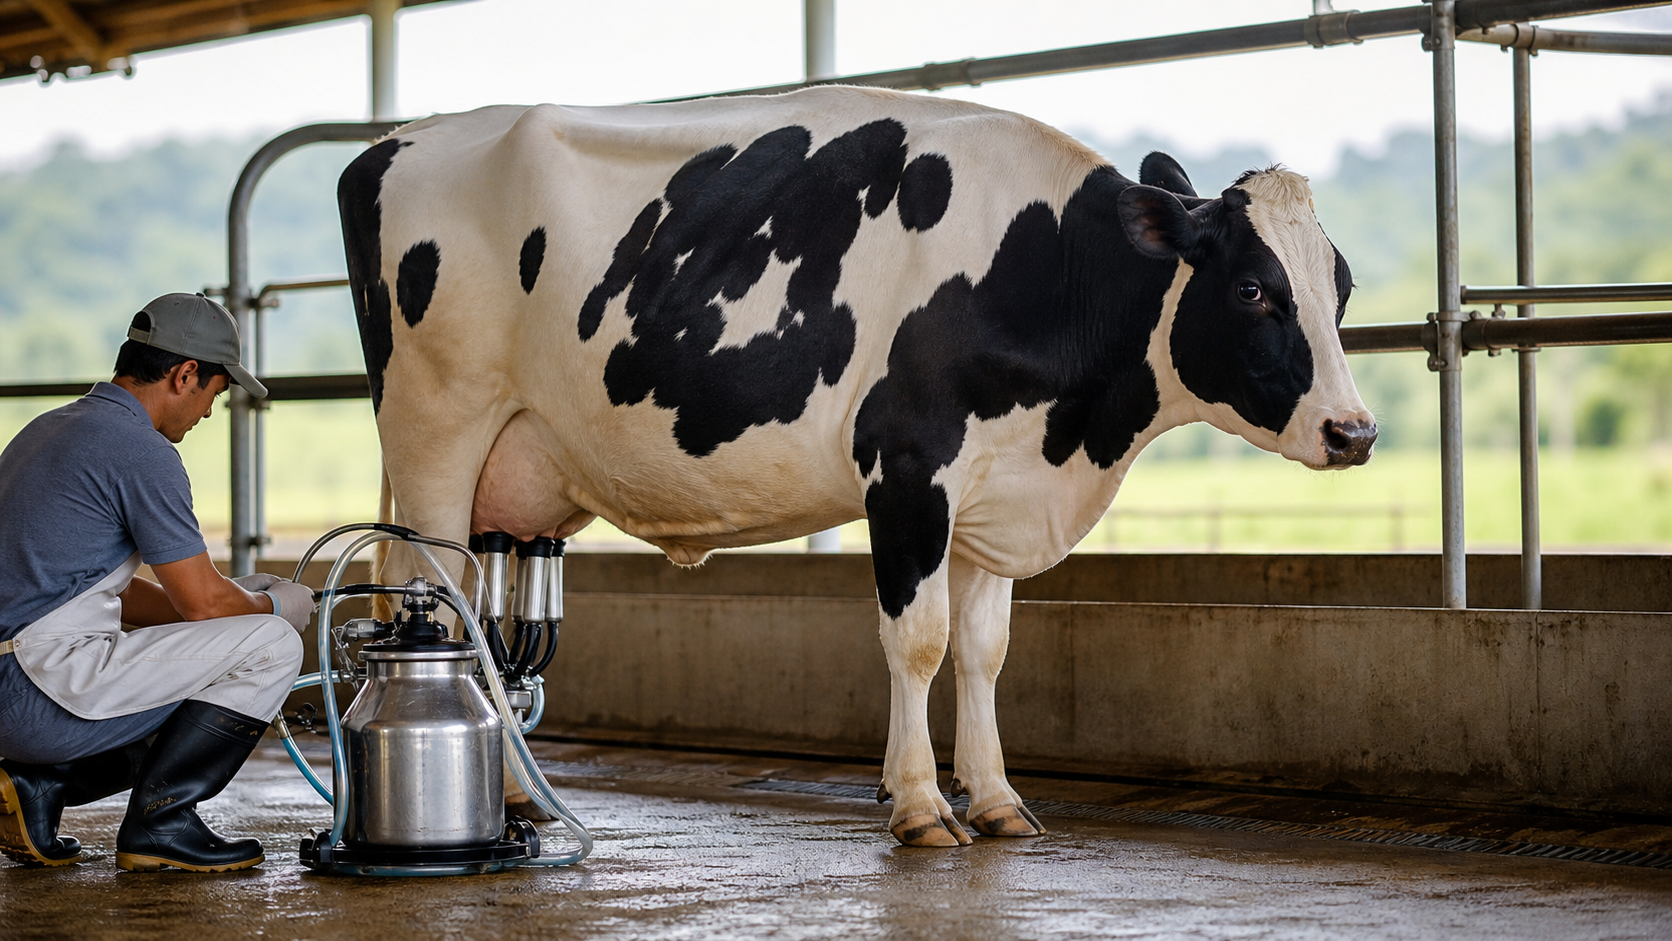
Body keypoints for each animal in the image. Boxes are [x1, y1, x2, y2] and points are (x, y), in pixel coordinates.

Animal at [338, 86, 1377, 848]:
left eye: (1341, 285)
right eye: (1253, 289)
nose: (1354, 431)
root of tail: (395, 142)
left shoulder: (995, 495)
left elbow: (985, 648)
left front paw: (997, 798)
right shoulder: (910, 468)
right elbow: (917, 640)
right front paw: (919, 806)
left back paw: (516, 799)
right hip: (436, 435)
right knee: (435, 604)